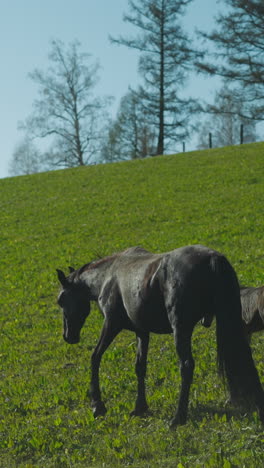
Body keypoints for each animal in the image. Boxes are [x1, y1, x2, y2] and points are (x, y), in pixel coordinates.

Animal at [56, 245, 264, 424]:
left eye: (61, 300)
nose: (68, 336)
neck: (109, 275)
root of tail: (213, 258)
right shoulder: (142, 332)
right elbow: (140, 367)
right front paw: (140, 407)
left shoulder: (111, 324)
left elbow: (95, 357)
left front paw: (97, 406)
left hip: (180, 329)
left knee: (186, 366)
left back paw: (178, 418)